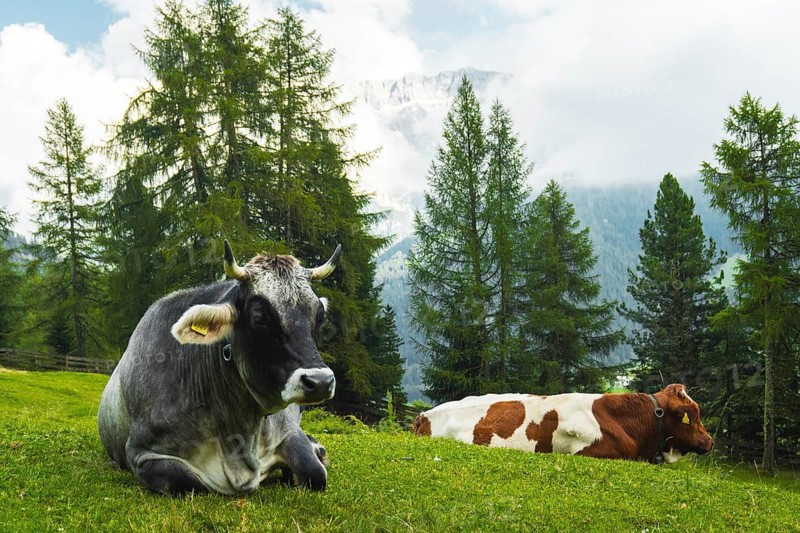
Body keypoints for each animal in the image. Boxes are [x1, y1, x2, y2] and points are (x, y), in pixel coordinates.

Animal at [97, 240, 340, 494]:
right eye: (259, 318)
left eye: (319, 316)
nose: (320, 382)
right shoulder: (142, 454)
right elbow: (190, 483)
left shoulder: (288, 432)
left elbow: (314, 472)